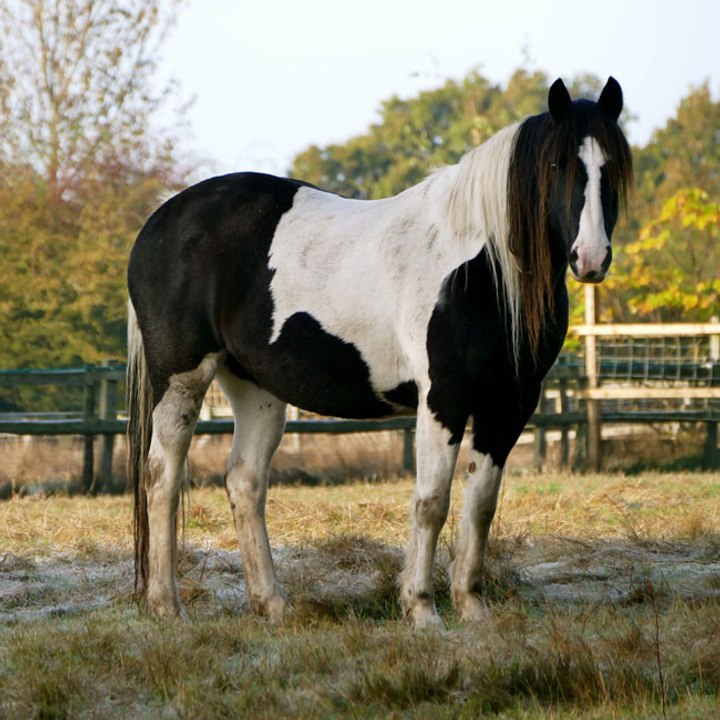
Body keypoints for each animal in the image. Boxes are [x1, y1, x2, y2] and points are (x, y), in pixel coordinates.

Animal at [127, 77, 632, 627]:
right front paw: (422, 609)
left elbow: (481, 504)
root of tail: (161, 218)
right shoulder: (444, 397)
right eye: (558, 165)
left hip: (256, 389)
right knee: (162, 478)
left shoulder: (509, 404)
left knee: (245, 482)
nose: (591, 258)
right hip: (182, 379)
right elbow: (431, 502)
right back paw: (166, 605)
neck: (479, 267)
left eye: (611, 165)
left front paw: (472, 608)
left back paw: (274, 605)